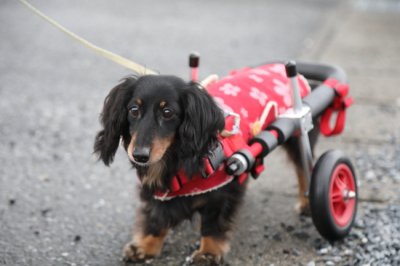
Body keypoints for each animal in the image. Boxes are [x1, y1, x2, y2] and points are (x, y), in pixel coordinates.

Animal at [94, 65, 318, 266]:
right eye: (133, 110)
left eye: (167, 112)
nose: (139, 155)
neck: (174, 160)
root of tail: (279, 67)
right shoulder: (155, 189)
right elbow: (156, 217)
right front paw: (146, 245)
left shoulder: (223, 191)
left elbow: (213, 224)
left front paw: (208, 253)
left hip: (297, 133)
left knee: (304, 167)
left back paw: (307, 201)